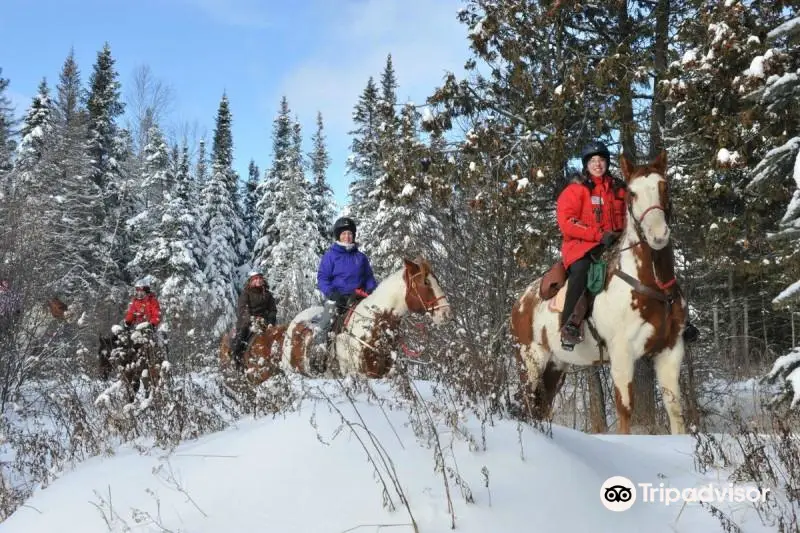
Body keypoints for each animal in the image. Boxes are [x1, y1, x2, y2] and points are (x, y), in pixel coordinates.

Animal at [512, 152, 688, 434]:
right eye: (632, 193)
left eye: (665, 186)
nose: (658, 235)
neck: (652, 286)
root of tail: (520, 302)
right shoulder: (622, 354)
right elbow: (625, 411)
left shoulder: (670, 351)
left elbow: (675, 411)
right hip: (530, 362)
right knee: (527, 403)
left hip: (555, 366)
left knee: (542, 406)